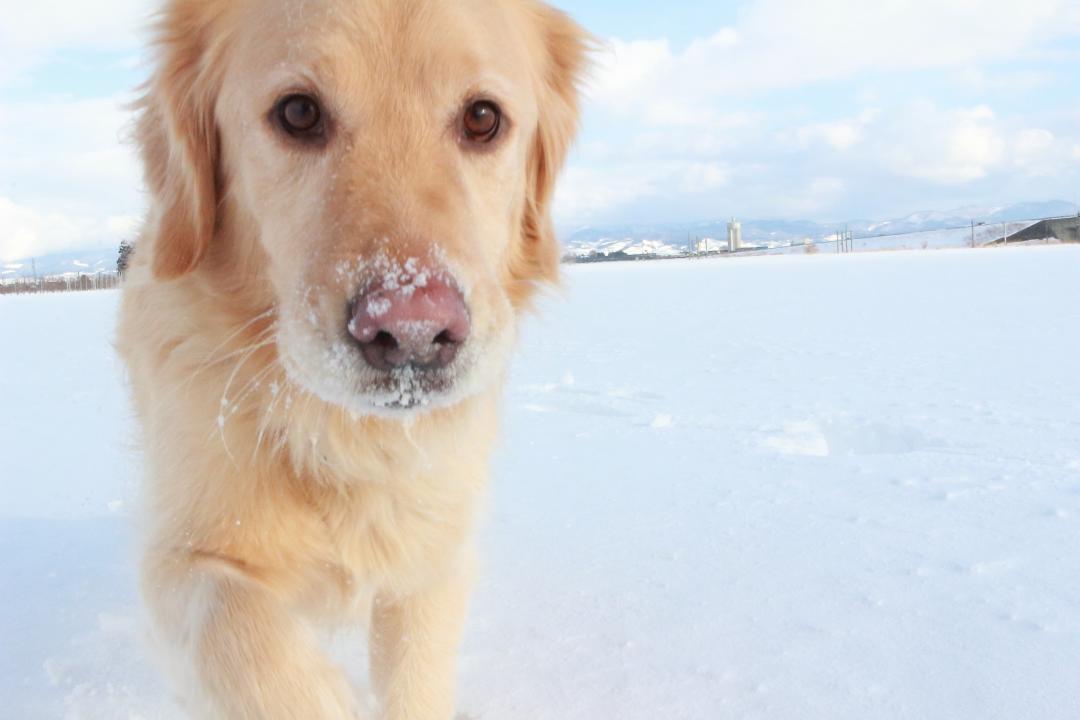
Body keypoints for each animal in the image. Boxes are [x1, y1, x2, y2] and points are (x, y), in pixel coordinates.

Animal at [117, 2, 587, 716]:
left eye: (483, 118)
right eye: (298, 113)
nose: (413, 327)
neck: (346, 437)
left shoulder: (430, 564)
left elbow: (416, 675)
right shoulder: (177, 556)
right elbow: (232, 623)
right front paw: (318, 696)